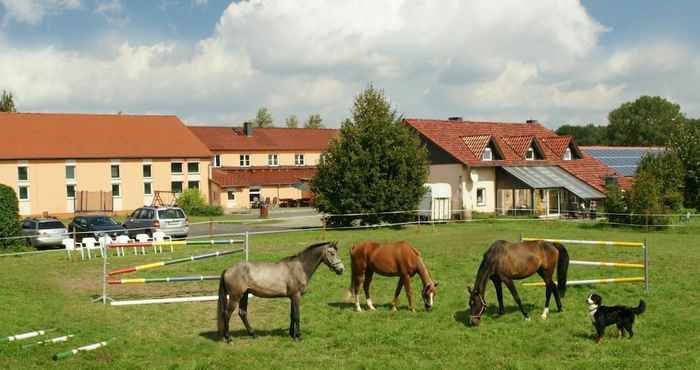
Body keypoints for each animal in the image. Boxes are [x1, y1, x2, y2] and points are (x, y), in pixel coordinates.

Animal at [215, 240, 344, 342]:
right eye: (332, 253)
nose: (341, 269)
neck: (299, 267)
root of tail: (227, 270)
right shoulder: (296, 296)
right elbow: (297, 316)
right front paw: (298, 336)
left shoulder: (292, 297)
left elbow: (292, 315)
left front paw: (292, 334)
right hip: (235, 297)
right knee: (226, 314)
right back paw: (228, 338)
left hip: (244, 295)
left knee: (242, 313)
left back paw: (253, 334)